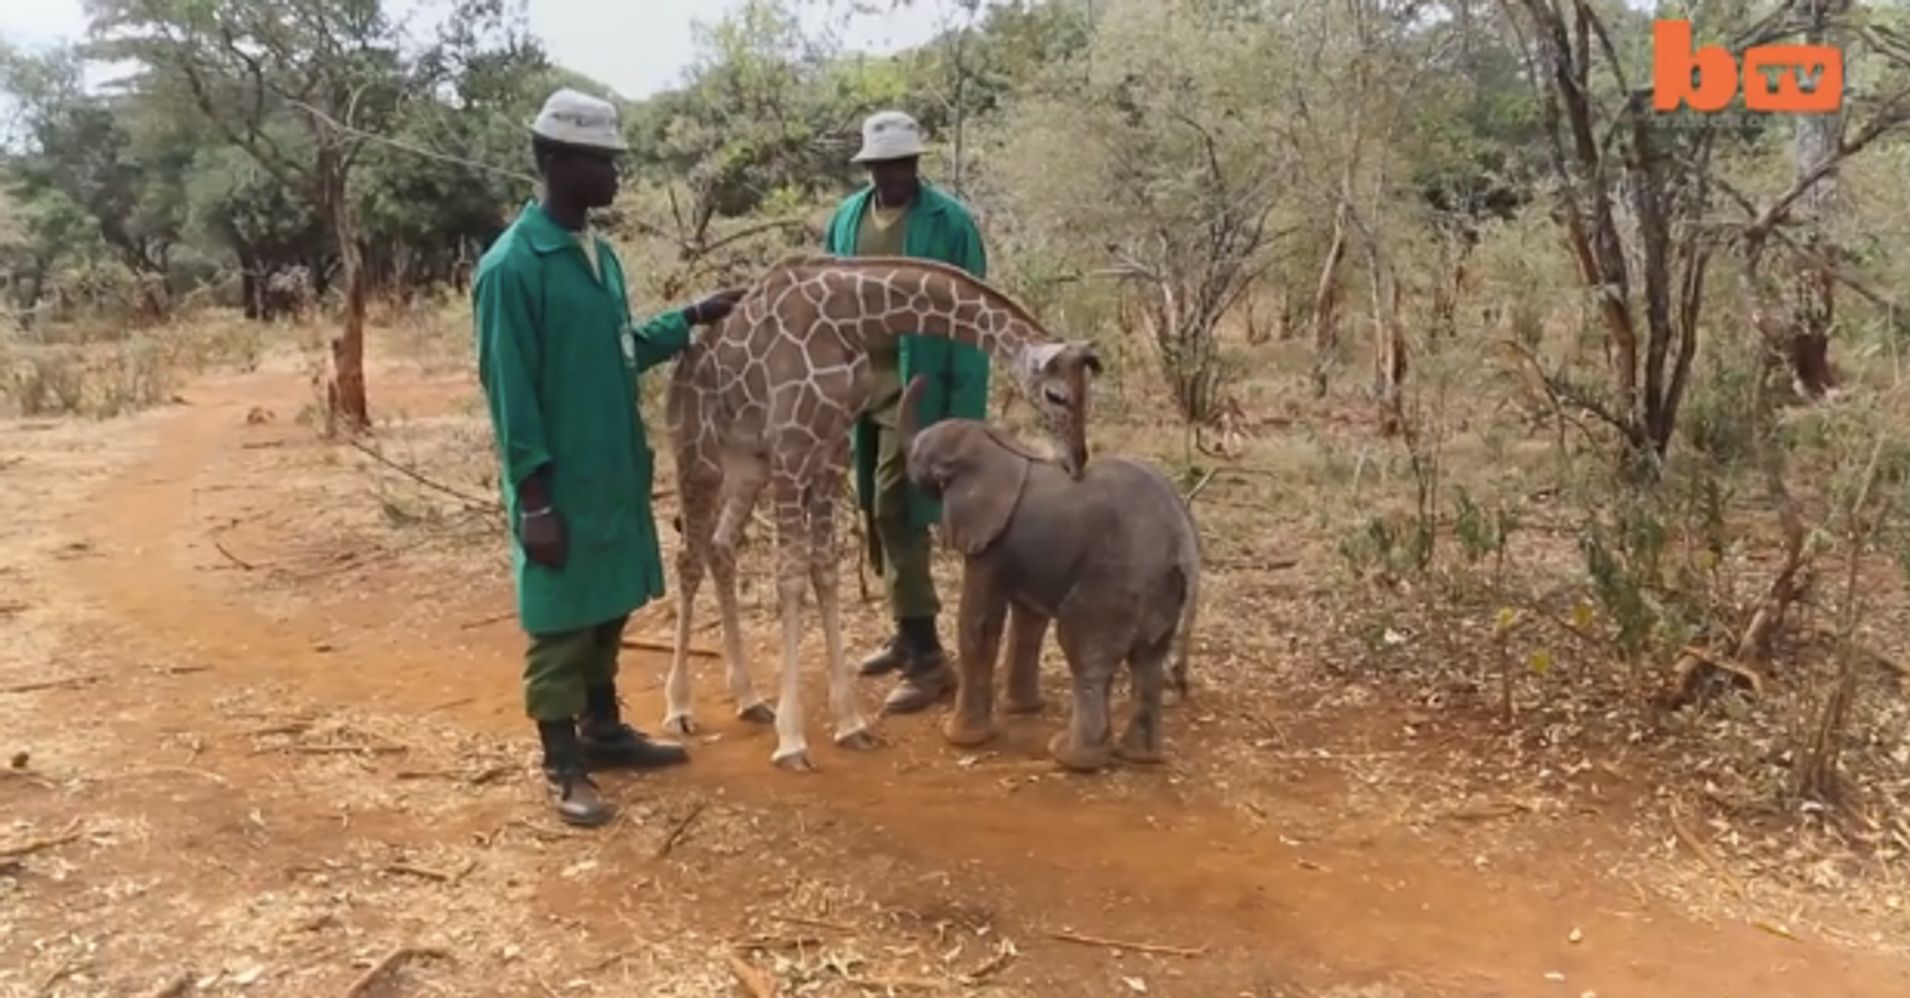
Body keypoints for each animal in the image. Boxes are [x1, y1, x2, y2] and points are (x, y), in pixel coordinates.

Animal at [897, 374, 1199, 774]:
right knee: (1148, 660)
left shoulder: (990, 542)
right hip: (1162, 586)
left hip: (1119, 581)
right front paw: (1021, 710)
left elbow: (978, 625)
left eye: (927, 464)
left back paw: (1071, 758)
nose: (923, 377)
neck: (1000, 447)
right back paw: (1139, 756)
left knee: (1085, 651)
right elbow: (1028, 621)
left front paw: (959, 738)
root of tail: (1184, 533)